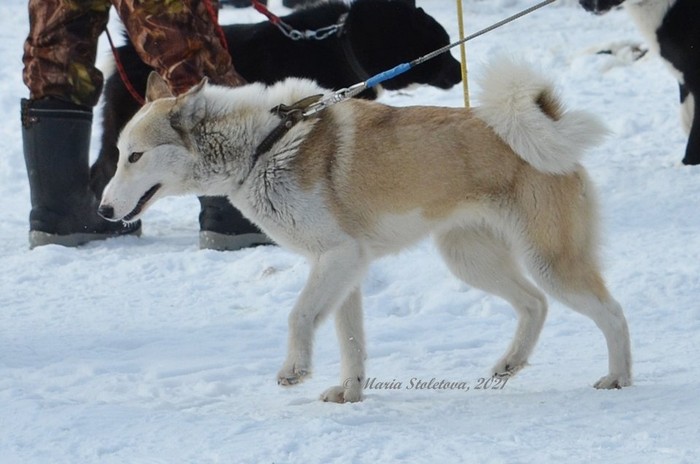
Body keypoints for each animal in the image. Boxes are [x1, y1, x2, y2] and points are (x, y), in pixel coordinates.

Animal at [98, 57, 632, 403]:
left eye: (135, 156)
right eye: (120, 154)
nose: (103, 210)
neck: (263, 146)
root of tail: (551, 130)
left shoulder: (337, 257)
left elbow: (298, 316)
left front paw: (295, 371)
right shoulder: (345, 267)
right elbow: (350, 341)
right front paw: (350, 394)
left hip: (550, 261)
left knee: (612, 313)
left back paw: (619, 379)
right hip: (469, 257)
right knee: (534, 304)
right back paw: (511, 363)